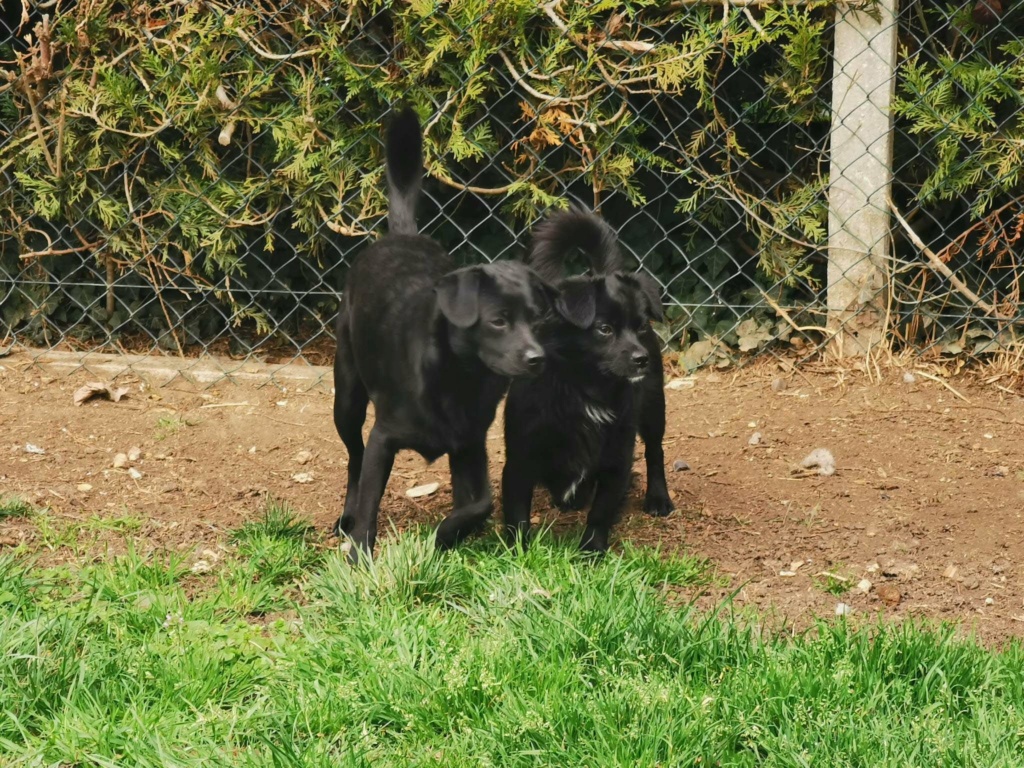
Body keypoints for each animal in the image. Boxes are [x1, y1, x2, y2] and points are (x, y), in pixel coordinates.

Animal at [331, 107, 552, 565]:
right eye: (498, 321)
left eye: (538, 319)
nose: (536, 358)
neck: (459, 379)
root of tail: (400, 234)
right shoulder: (383, 438)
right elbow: (370, 502)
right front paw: (359, 555)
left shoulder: (469, 443)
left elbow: (480, 503)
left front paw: (446, 535)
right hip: (347, 398)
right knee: (354, 460)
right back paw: (346, 515)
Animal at [501, 205, 675, 552]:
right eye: (604, 329)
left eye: (640, 327)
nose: (642, 359)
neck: (585, 390)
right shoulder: (519, 459)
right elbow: (517, 514)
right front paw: (517, 553)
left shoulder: (616, 458)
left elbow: (601, 510)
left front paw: (591, 550)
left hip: (653, 407)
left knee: (655, 451)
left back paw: (657, 498)